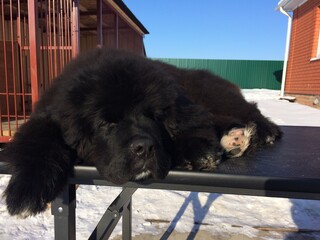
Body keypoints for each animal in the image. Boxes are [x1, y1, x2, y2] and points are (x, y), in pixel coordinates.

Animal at [0, 49, 280, 218]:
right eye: (106, 123)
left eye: (154, 116)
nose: (144, 148)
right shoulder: (48, 116)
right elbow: (38, 141)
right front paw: (25, 191)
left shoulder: (187, 106)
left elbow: (189, 124)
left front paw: (199, 151)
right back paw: (234, 139)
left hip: (212, 94)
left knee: (249, 111)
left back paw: (257, 133)